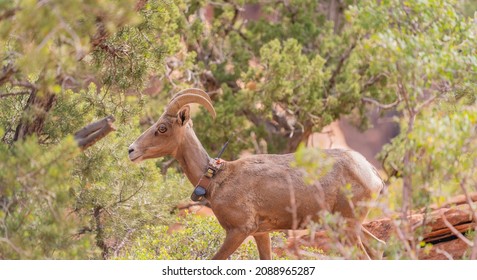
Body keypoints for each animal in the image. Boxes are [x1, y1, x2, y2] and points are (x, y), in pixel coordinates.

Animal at [128, 88, 384, 260]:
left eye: (162, 128)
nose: (131, 150)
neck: (216, 180)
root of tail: (372, 174)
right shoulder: (262, 234)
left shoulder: (239, 231)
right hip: (351, 227)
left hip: (347, 227)